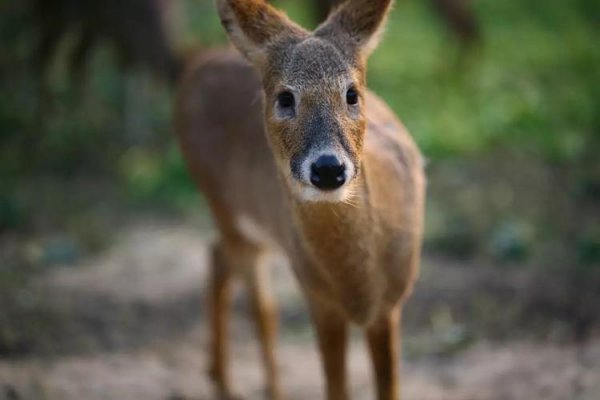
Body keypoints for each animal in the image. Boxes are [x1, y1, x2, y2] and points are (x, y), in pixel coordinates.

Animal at [175, 0, 426, 400]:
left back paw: (220, 378)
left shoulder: (390, 304)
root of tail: (196, 65)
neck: (359, 285)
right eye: (285, 98)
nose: (328, 168)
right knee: (261, 307)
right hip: (221, 203)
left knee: (218, 258)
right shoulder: (318, 299)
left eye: (352, 93)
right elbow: (335, 388)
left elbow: (388, 388)